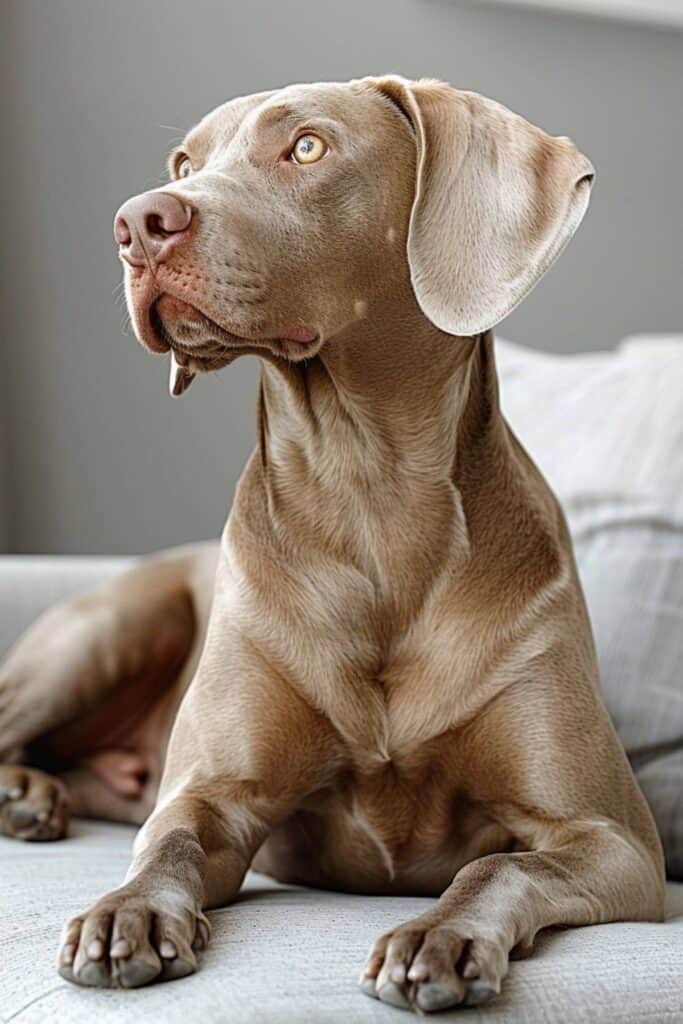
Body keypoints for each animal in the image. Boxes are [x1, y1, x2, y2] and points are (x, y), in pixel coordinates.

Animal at [0, 75, 663, 1011]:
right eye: (184, 163)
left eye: (307, 147)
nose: (136, 222)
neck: (367, 496)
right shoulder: (212, 796)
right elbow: (167, 842)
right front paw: (123, 913)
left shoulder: (612, 839)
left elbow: (498, 867)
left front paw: (438, 937)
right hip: (108, 628)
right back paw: (27, 796)